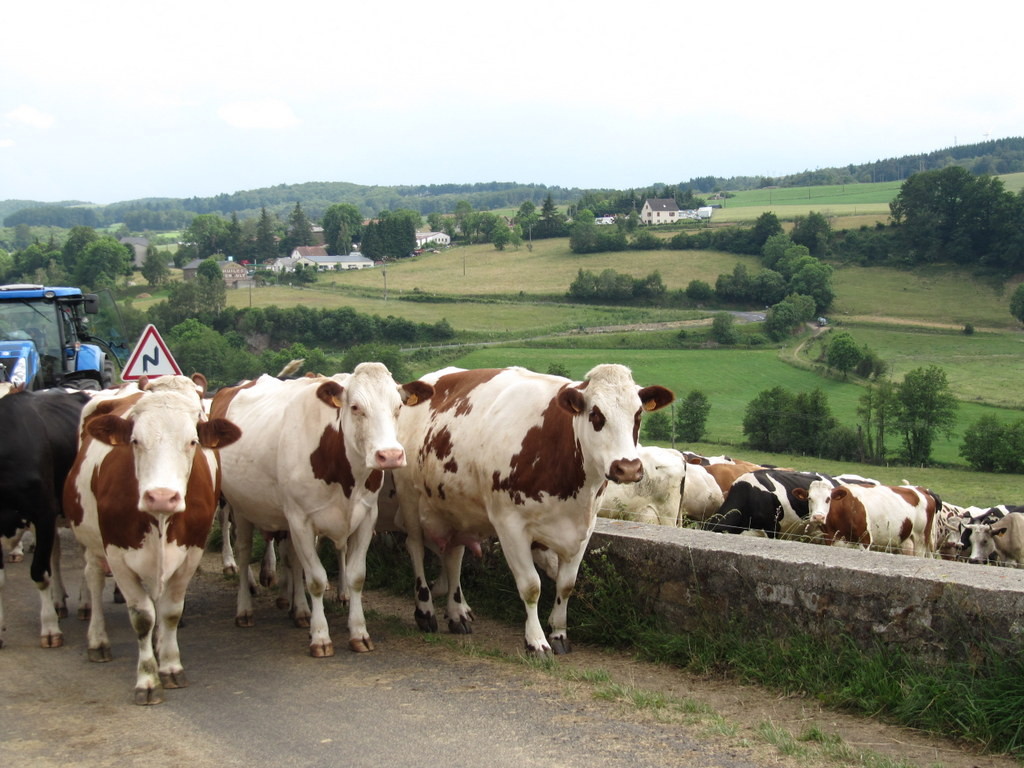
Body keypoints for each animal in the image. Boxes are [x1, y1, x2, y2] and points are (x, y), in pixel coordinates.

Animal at [0, 391, 93, 651]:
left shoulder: (43, 513)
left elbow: (39, 573)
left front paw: (50, 628)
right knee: (56, 555)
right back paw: (59, 601)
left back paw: (85, 603)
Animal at [62, 376, 241, 708]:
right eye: (135, 441)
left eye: (192, 441)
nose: (161, 496)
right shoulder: (117, 554)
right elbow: (142, 616)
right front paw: (147, 679)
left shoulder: (190, 552)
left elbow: (170, 611)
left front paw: (170, 665)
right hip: (91, 539)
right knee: (93, 579)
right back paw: (98, 640)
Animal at [207, 364, 432, 659]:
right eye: (355, 407)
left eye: (399, 407)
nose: (391, 455)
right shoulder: (300, 520)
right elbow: (315, 578)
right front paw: (321, 637)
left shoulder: (366, 517)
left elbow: (356, 576)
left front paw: (359, 633)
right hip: (241, 506)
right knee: (244, 553)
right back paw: (245, 608)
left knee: (291, 558)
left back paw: (299, 611)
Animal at [389, 364, 671, 655]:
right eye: (595, 414)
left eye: (638, 414)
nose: (628, 468)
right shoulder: (510, 525)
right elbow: (531, 586)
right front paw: (536, 641)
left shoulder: (584, 528)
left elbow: (566, 584)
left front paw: (559, 633)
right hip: (409, 496)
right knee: (416, 548)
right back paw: (425, 611)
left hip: (455, 506)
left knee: (453, 555)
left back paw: (457, 613)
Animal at [798, 479, 937, 557]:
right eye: (809, 498)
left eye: (828, 499)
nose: (818, 517)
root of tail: (922, 489)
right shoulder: (831, 538)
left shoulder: (865, 539)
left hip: (921, 538)